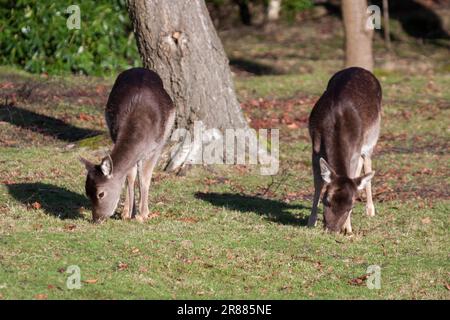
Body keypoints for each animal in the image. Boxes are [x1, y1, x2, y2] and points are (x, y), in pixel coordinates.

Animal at [80, 67, 175, 222]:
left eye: (101, 193)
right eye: (87, 193)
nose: (96, 219)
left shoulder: (157, 147)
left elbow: (145, 178)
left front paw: (143, 215)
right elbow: (129, 176)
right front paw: (128, 213)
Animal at [306, 67, 380, 232]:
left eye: (351, 206)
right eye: (327, 200)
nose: (332, 229)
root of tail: (361, 69)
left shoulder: (355, 149)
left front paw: (348, 228)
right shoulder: (315, 147)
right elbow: (318, 182)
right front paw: (311, 221)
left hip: (372, 136)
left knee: (367, 163)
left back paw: (370, 210)